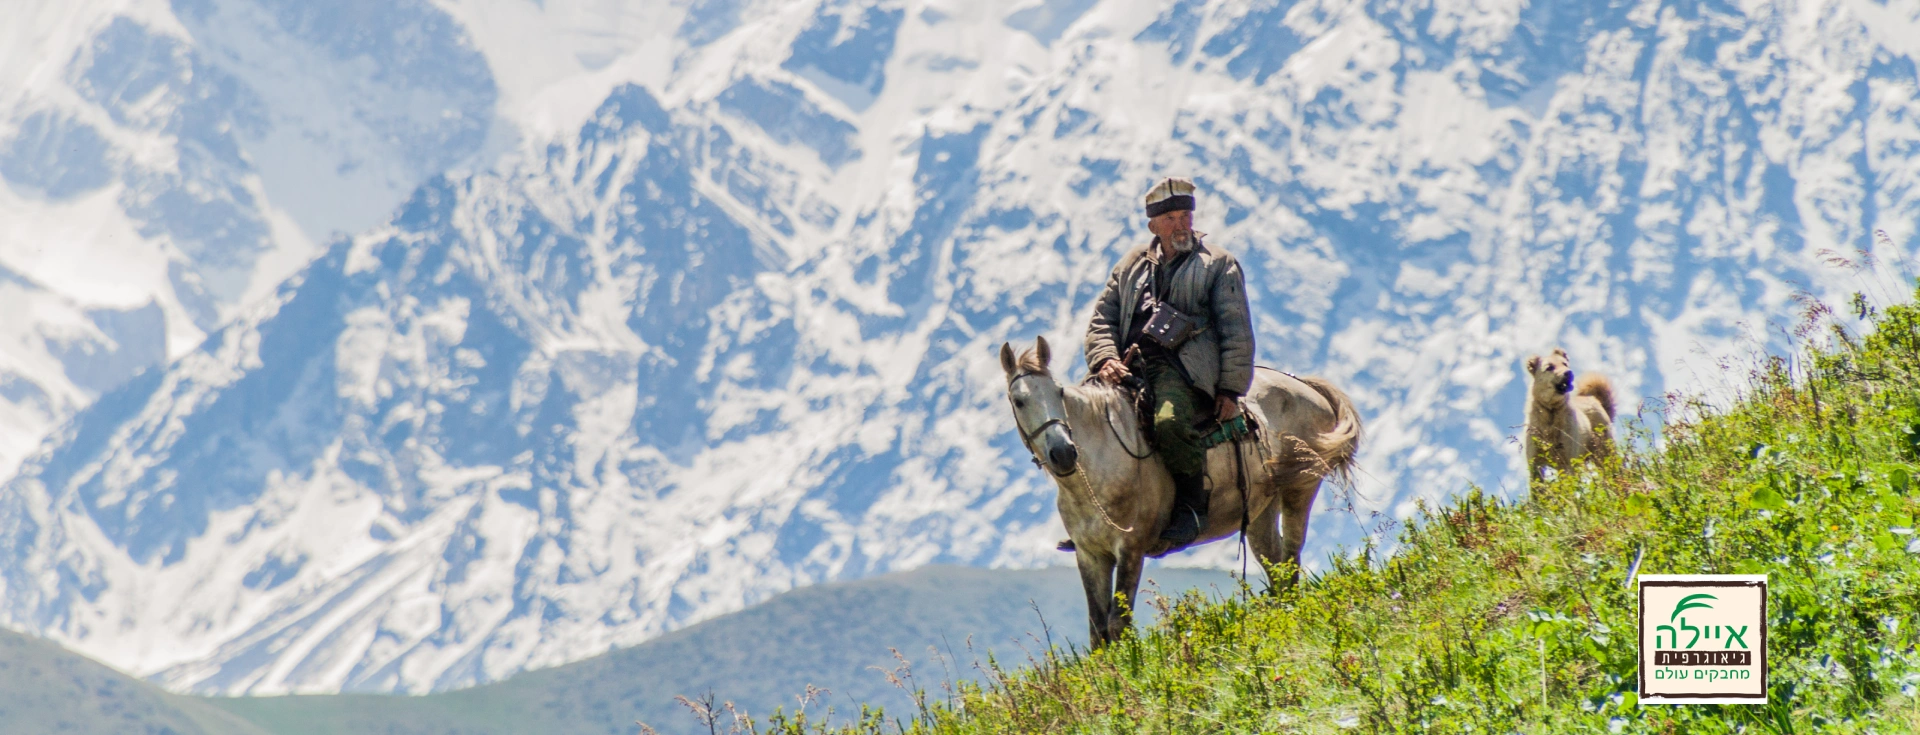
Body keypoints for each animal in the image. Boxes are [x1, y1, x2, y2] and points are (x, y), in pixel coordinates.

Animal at [998, 337, 1359, 648]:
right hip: (1260, 512)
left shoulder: (1131, 549)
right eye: (1019, 400)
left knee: (1292, 558)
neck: (1102, 463)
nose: (1063, 453)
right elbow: (1097, 630)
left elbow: (1118, 624)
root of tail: (1306, 386)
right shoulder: (1090, 556)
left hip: (1300, 489)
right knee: (1277, 568)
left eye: (1058, 392)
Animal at [1520, 351, 1612, 483]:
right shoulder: (1535, 466)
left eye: (1565, 364)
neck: (1551, 413)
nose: (1569, 372)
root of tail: (1594, 399)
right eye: (1549, 367)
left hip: (1604, 454)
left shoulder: (1566, 464)